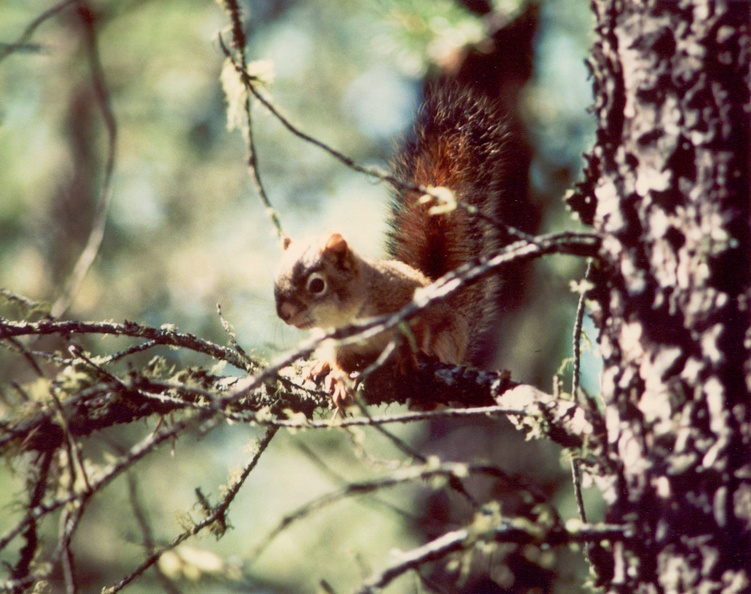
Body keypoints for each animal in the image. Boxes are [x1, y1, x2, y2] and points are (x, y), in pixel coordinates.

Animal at [274, 84, 510, 405]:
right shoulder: (334, 339)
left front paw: (409, 357)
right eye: (275, 279)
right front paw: (336, 374)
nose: (283, 314)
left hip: (450, 337)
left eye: (317, 285)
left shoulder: (407, 301)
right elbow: (337, 358)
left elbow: (416, 333)